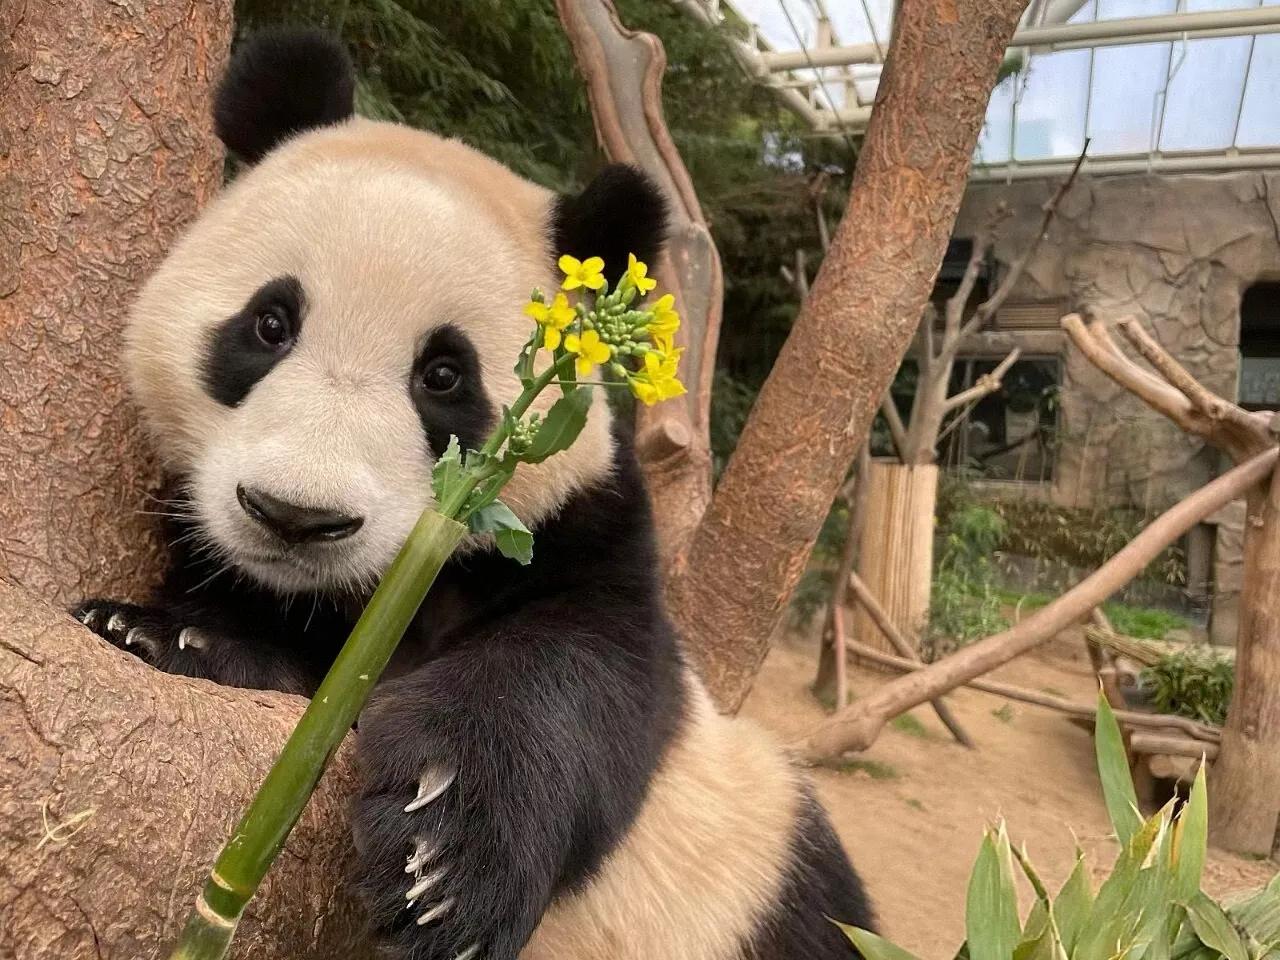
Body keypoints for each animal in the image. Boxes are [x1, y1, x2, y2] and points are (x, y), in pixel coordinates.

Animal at [74, 26, 875, 960]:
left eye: (443, 376)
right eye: (269, 324)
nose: (296, 517)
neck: (358, 601)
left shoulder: (582, 535)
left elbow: (581, 665)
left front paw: (446, 864)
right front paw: (161, 632)